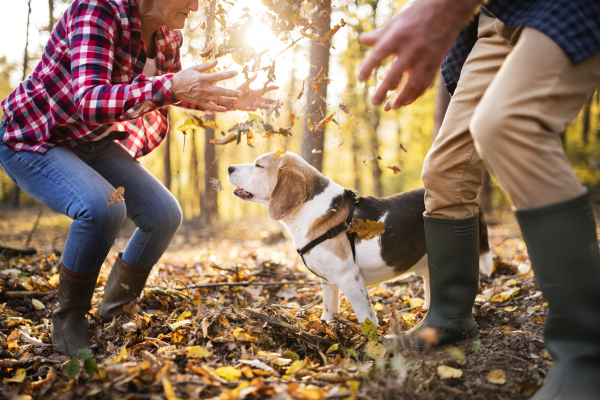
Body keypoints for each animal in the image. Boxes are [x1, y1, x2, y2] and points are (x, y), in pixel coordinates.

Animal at [227, 152, 490, 326]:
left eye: (258, 165)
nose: (229, 167)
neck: (312, 209)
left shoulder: (349, 277)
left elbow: (366, 315)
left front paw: (369, 342)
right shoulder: (328, 281)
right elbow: (329, 309)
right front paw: (325, 328)